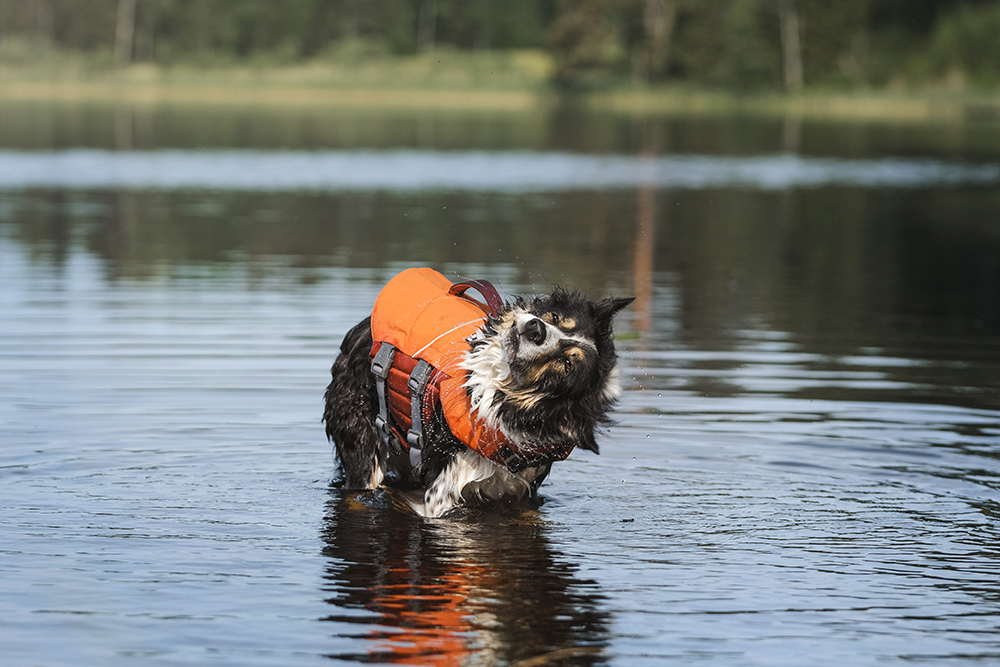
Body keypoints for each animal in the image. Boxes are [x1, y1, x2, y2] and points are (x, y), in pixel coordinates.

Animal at [324, 268, 628, 520]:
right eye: (555, 318)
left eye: (566, 365)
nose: (535, 327)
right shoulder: (441, 493)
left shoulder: (521, 488)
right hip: (363, 443)